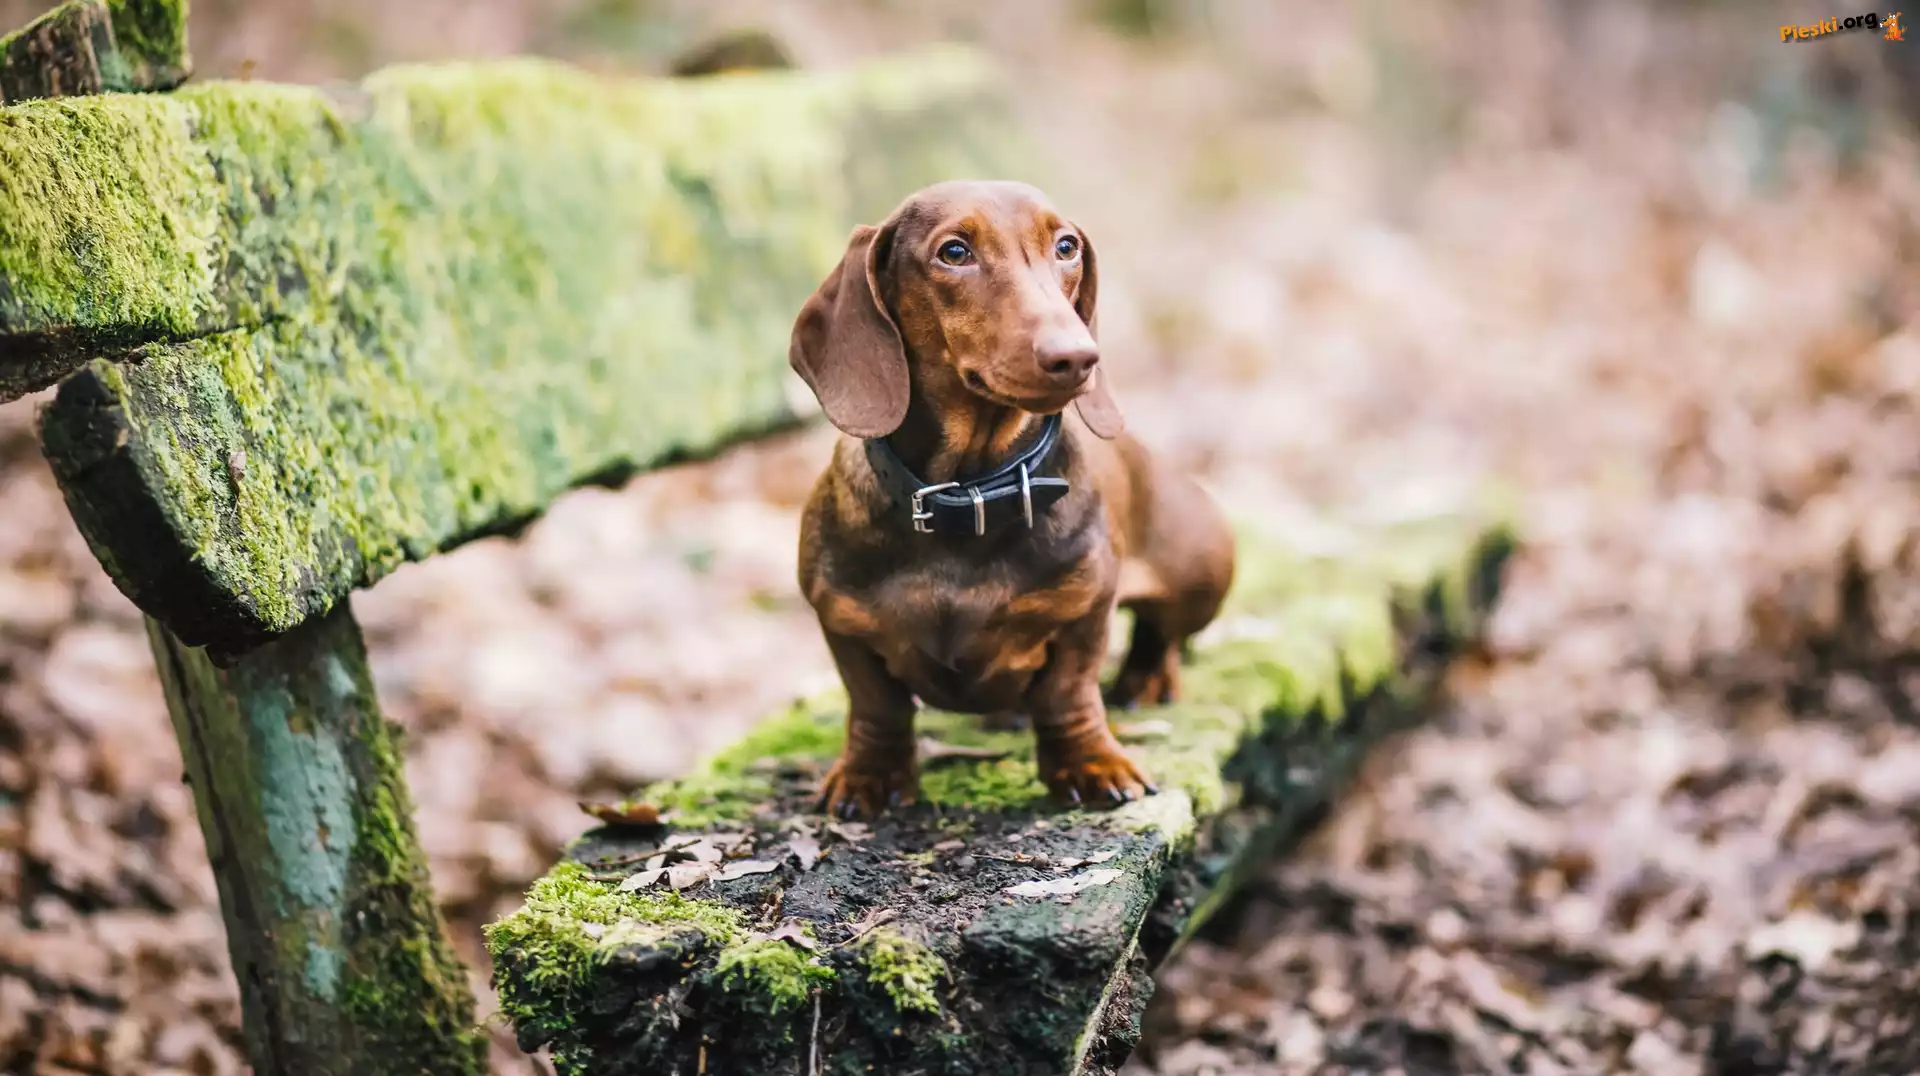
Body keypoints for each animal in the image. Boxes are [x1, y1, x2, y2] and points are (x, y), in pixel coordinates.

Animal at [788, 180, 1235, 818]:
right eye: (954, 252)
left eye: (1067, 246)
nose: (1078, 356)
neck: (971, 495)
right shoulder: (842, 621)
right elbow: (877, 706)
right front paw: (869, 775)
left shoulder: (1084, 612)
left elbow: (1068, 694)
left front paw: (1092, 764)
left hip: (1203, 575)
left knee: (1162, 632)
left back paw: (1147, 680)